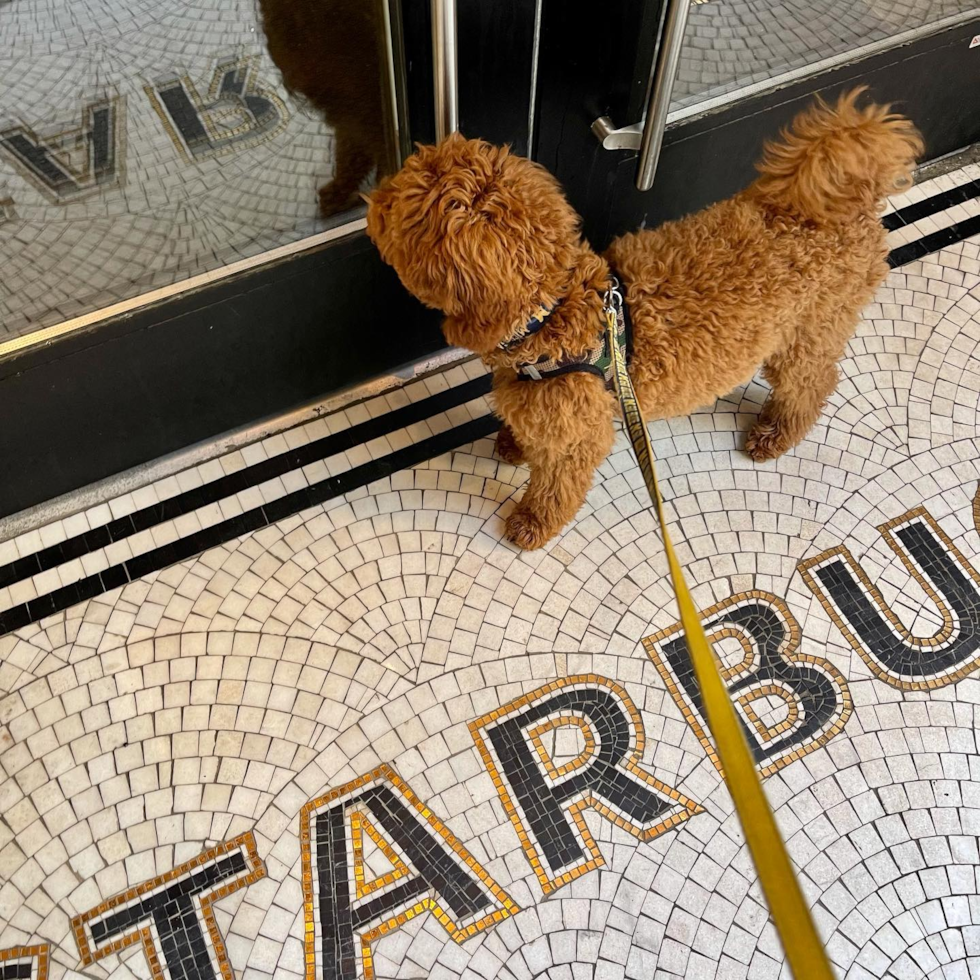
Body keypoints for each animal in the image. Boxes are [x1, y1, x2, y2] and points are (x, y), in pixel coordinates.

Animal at [366, 90, 920, 552]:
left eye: (400, 204)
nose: (371, 198)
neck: (556, 309)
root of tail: (850, 208)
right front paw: (512, 443)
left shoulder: (579, 438)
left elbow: (556, 485)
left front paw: (531, 523)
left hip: (808, 333)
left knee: (813, 382)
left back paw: (774, 435)